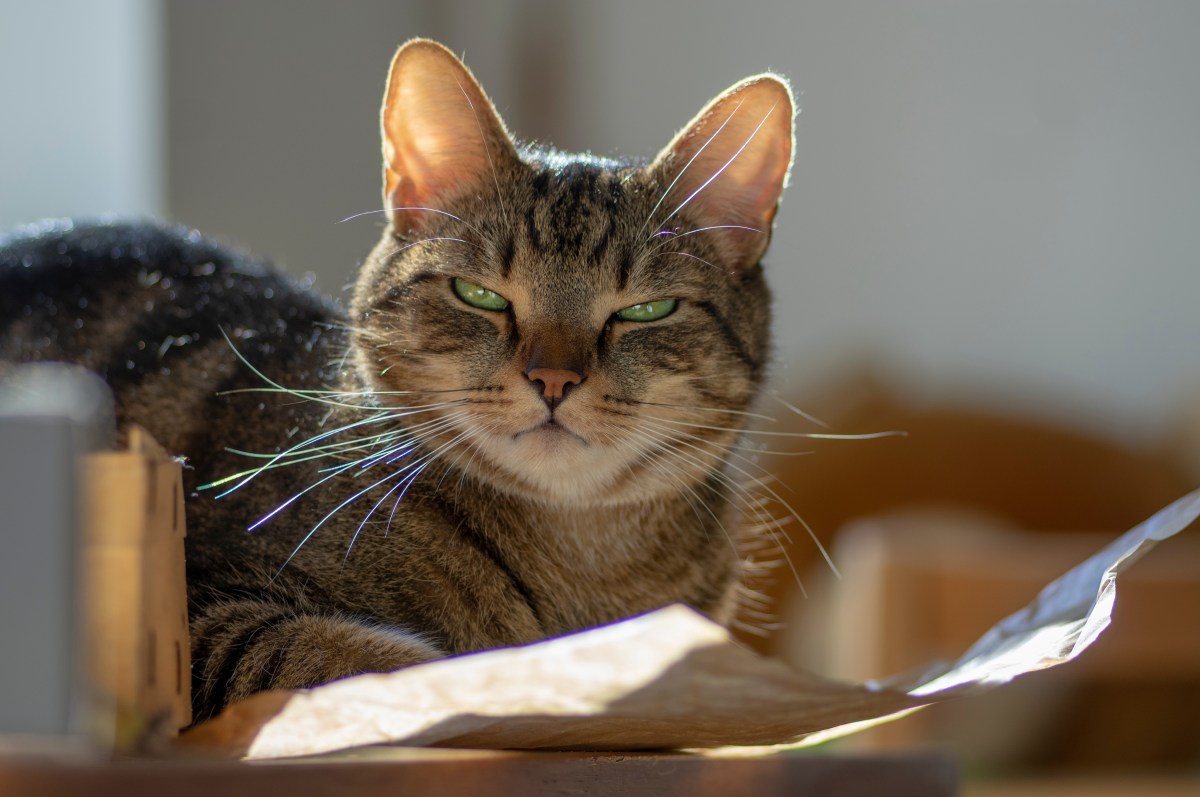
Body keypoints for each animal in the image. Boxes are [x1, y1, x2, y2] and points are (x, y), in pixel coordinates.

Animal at [0, 39, 796, 720]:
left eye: (645, 310)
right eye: (480, 295)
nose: (553, 378)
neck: (584, 566)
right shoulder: (194, 610)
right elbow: (371, 658)